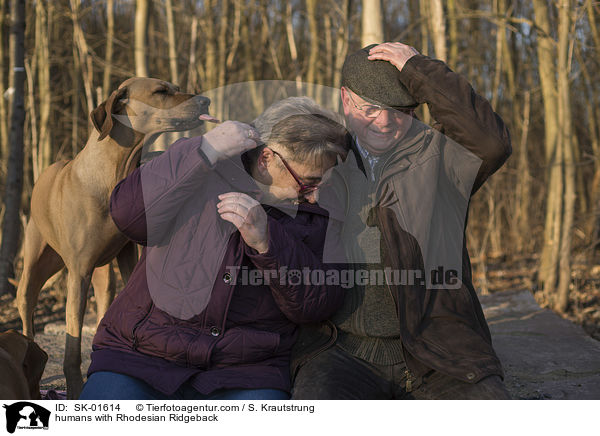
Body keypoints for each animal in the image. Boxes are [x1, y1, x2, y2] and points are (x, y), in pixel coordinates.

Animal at [15, 78, 211, 398]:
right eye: (161, 91)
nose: (206, 101)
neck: (114, 173)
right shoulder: (78, 272)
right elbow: (72, 346)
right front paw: (75, 389)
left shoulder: (127, 253)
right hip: (37, 258)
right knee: (27, 300)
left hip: (102, 272)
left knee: (105, 295)